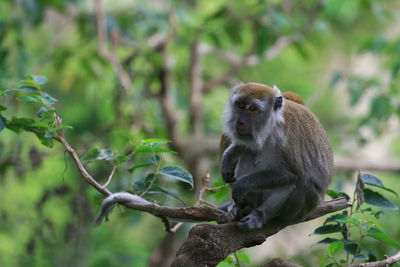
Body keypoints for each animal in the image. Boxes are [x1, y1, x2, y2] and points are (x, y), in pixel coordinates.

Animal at [217, 82, 332, 231]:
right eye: (240, 105)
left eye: (252, 108)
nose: (240, 122)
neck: (271, 126)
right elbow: (248, 145)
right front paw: (228, 158)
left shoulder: (285, 140)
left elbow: (294, 173)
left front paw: (241, 185)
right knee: (250, 154)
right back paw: (241, 207)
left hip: (301, 209)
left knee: (299, 183)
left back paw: (259, 216)